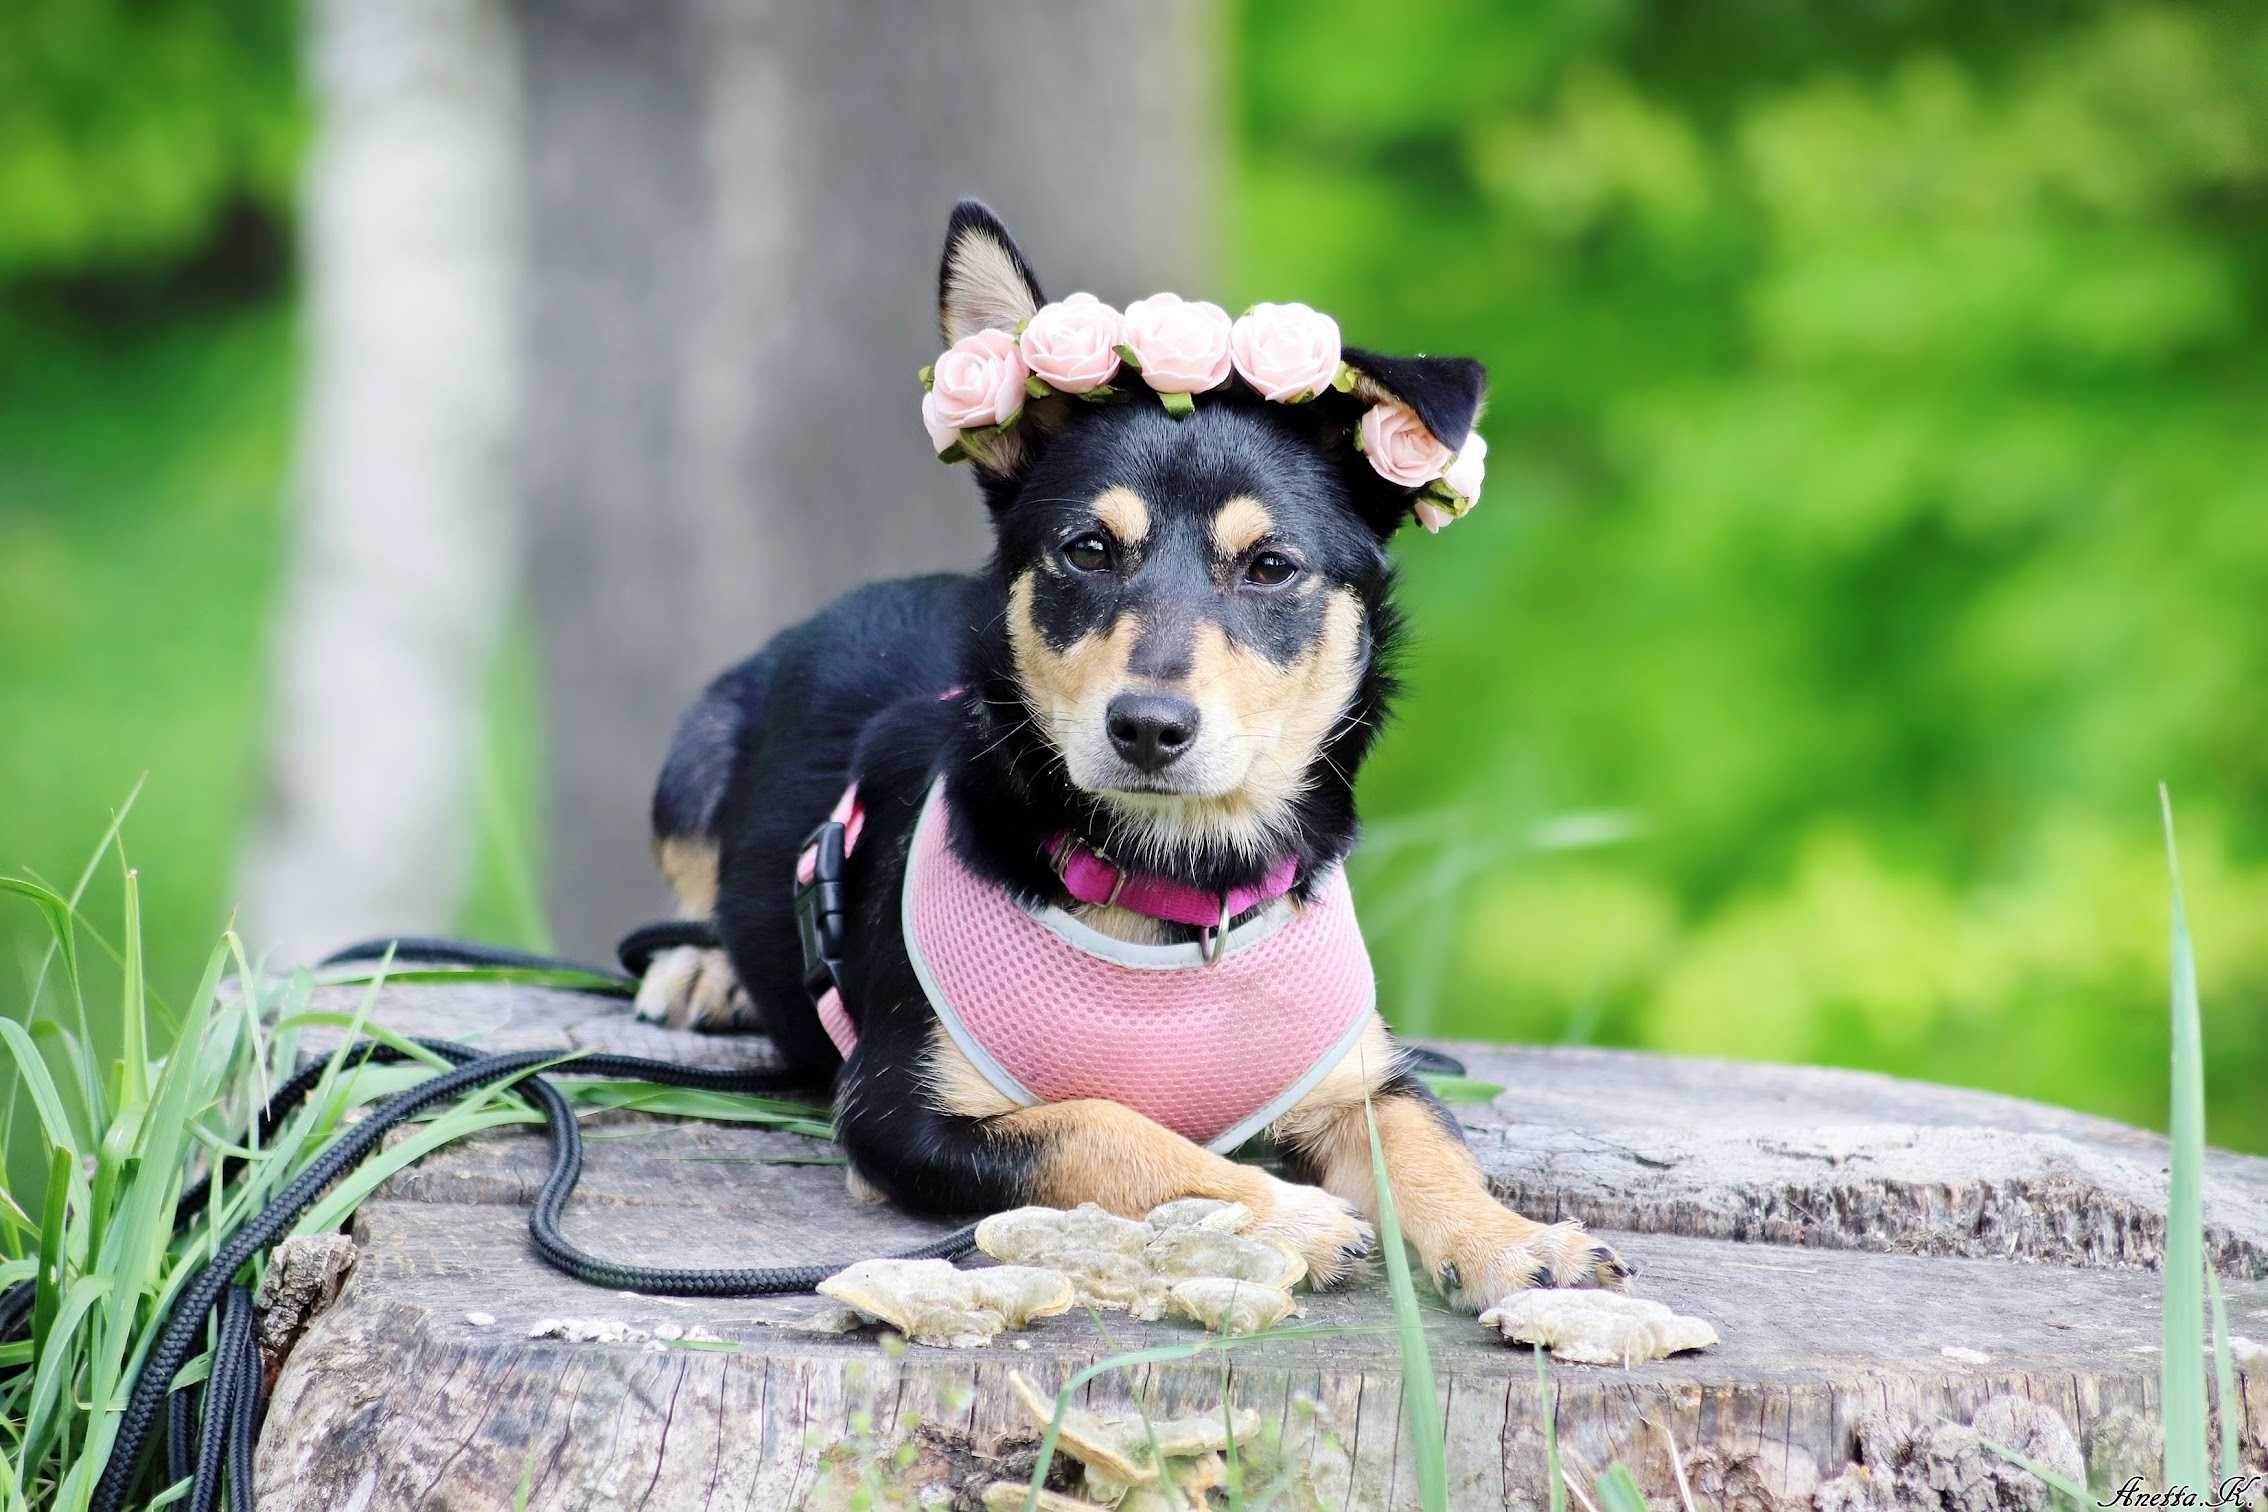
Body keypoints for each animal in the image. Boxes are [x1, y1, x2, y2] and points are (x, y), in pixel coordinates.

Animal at [635, 200, 1632, 1314]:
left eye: (1271, 567)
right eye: (1087, 551)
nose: (1149, 727)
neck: (1175, 887)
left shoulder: (1361, 1079)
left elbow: (1428, 1143)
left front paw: (1516, 1241)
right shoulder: (900, 1112)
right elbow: (1109, 1128)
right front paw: (1285, 1214)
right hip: (692, 760)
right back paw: (700, 967)